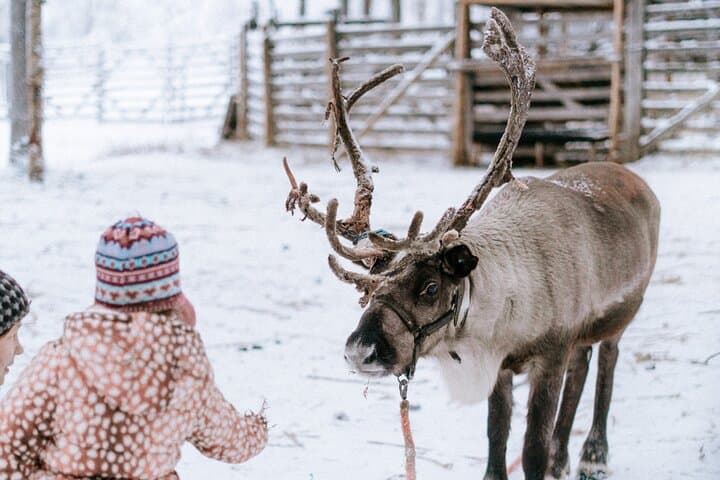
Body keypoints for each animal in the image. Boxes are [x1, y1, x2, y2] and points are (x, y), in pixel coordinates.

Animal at [283, 8, 660, 480]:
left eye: (430, 287)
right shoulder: (502, 367)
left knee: (607, 359)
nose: (359, 352)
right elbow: (496, 438)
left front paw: (549, 458)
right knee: (584, 365)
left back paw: (593, 455)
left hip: (625, 311)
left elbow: (531, 448)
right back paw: (564, 458)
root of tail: (637, 180)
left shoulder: (551, 354)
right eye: (368, 289)